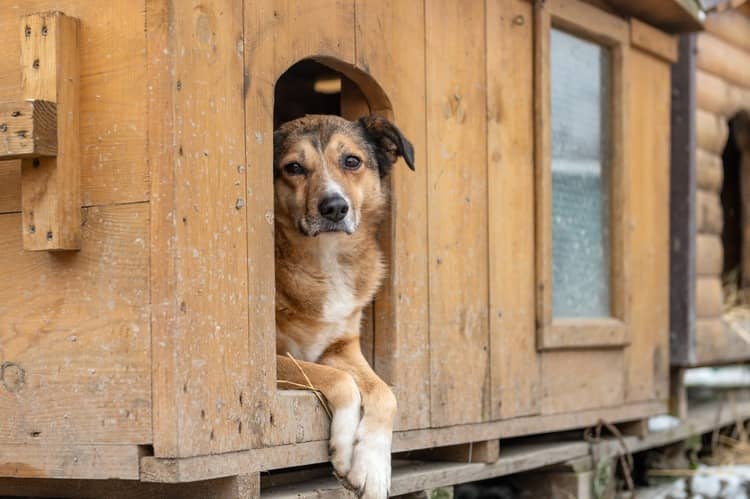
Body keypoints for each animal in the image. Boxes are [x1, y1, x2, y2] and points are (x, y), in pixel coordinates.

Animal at [274, 114, 418, 499]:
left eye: (352, 161)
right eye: (293, 167)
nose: (335, 207)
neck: (326, 259)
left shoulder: (342, 348)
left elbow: (385, 393)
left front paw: (373, 468)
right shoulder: (271, 360)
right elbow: (339, 380)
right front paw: (343, 448)